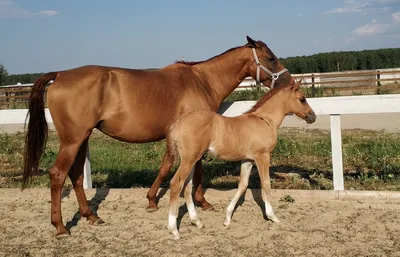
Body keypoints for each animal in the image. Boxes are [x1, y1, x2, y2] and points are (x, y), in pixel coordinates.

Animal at [166, 80, 316, 238]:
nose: (313, 117)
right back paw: (174, 230)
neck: (265, 121)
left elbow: (242, 185)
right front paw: (273, 216)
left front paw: (227, 218)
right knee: (176, 184)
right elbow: (266, 184)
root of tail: (178, 123)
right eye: (302, 99)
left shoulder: (248, 160)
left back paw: (197, 222)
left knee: (187, 187)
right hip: (189, 160)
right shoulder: (262, 156)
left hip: (193, 159)